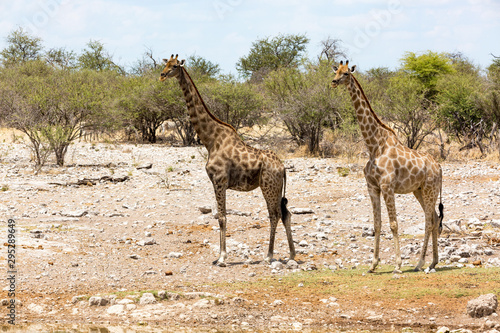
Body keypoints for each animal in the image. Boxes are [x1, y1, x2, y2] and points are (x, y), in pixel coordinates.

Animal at [158, 55, 294, 266]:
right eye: (164, 64)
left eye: (173, 66)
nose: (162, 75)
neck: (210, 140)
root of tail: (283, 167)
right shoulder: (217, 182)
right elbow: (220, 216)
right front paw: (220, 255)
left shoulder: (219, 181)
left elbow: (222, 217)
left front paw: (222, 257)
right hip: (276, 188)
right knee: (285, 213)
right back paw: (291, 255)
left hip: (268, 186)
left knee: (274, 214)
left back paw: (269, 255)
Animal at [330, 59, 444, 272]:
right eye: (335, 71)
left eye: (346, 73)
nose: (333, 82)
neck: (374, 146)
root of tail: (439, 166)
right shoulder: (372, 187)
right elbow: (377, 224)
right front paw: (373, 264)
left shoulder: (387, 186)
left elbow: (393, 223)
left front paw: (398, 265)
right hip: (418, 190)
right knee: (433, 218)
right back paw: (433, 262)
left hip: (430, 189)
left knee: (428, 221)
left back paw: (419, 263)